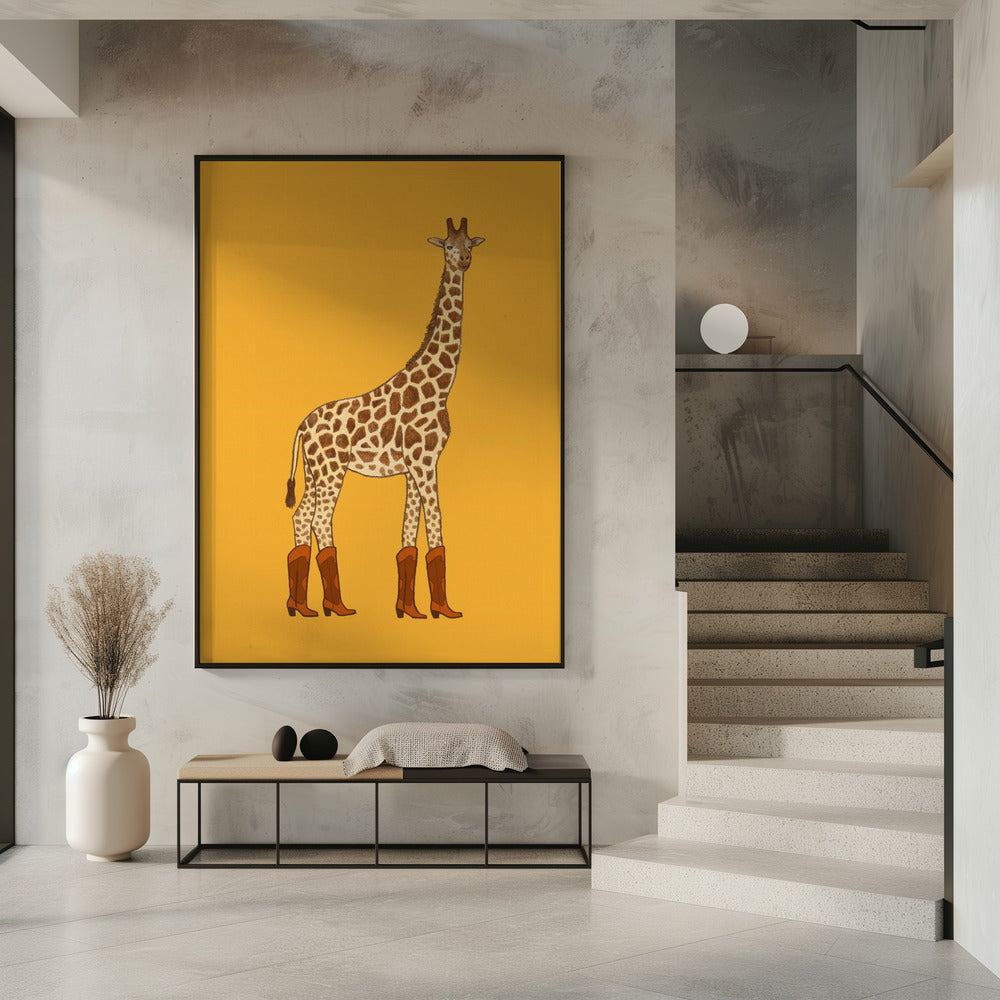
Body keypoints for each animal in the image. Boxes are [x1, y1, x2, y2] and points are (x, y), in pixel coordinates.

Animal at [283, 217, 485, 620]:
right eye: (448, 247)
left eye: (470, 243)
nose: (465, 261)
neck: (441, 386)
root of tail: (301, 427)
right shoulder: (424, 461)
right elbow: (436, 526)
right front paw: (444, 609)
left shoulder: (414, 467)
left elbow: (409, 535)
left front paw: (410, 609)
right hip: (332, 470)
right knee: (320, 520)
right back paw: (337, 606)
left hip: (314, 472)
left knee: (301, 517)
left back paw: (302, 607)